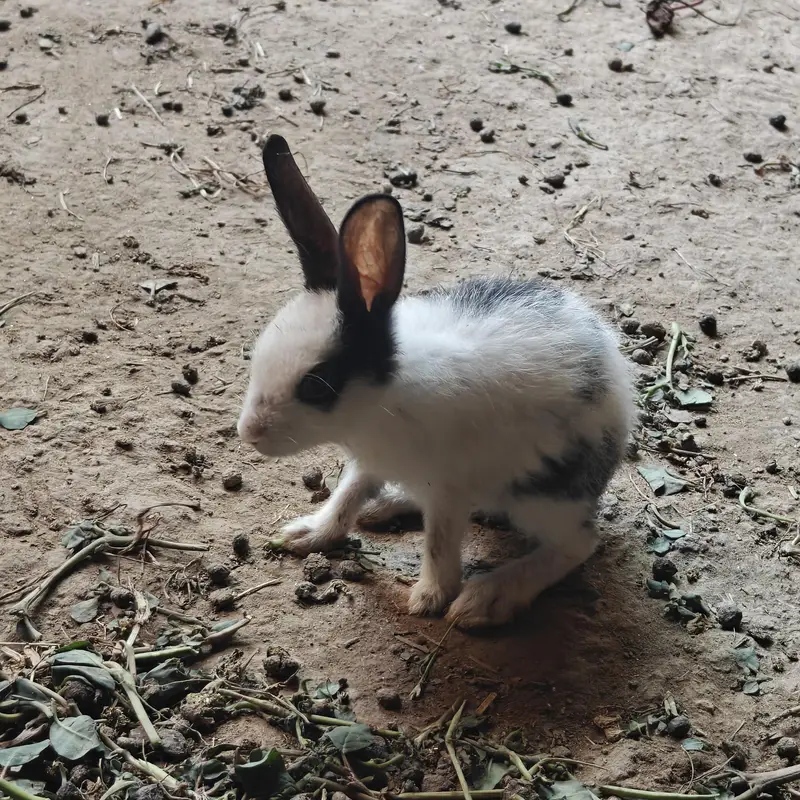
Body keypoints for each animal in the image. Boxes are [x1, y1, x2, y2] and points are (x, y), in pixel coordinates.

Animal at [237, 134, 635, 629]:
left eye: (316, 385)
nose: (248, 433)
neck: (384, 395)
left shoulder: (447, 489)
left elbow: (439, 542)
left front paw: (431, 598)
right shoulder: (370, 463)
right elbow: (347, 495)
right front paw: (308, 534)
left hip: (541, 495)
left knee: (575, 544)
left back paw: (489, 598)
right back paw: (385, 505)